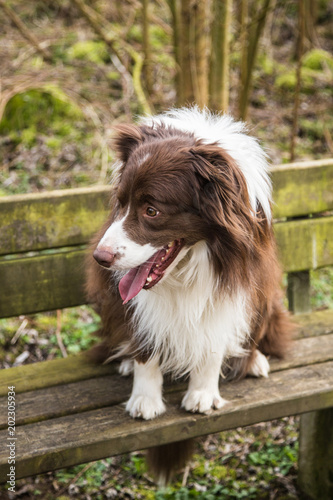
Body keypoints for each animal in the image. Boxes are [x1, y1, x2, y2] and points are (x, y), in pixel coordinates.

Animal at [85, 106, 290, 484]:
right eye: (120, 203)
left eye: (152, 210)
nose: (100, 258)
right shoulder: (132, 299)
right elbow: (145, 338)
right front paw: (145, 398)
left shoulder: (237, 278)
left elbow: (213, 335)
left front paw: (203, 394)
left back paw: (254, 359)